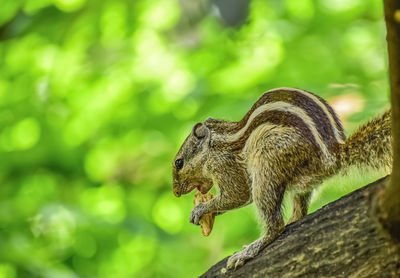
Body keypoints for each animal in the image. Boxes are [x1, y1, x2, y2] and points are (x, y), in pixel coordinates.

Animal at [171, 87, 390, 270]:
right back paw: (293, 219)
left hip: (267, 162)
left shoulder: (224, 165)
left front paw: (200, 209)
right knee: (299, 209)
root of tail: (331, 156)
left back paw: (250, 249)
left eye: (179, 163)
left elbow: (238, 194)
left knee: (275, 225)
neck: (213, 145)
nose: (175, 192)